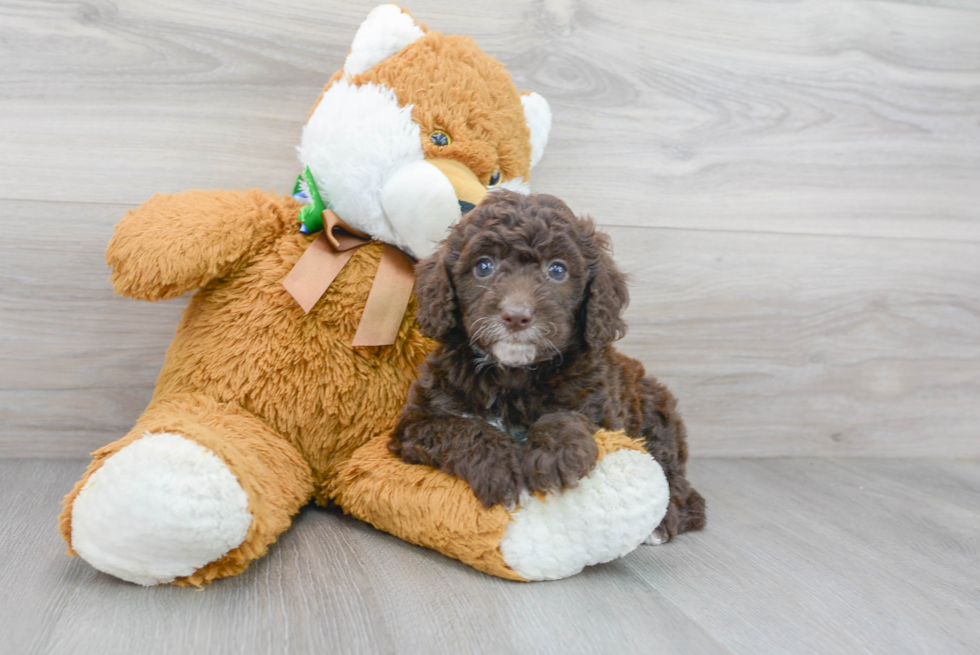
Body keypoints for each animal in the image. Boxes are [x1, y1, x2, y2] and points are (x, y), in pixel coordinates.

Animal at [390, 190, 704, 544]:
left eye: (557, 270)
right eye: (484, 266)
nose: (516, 316)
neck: (512, 376)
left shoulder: (601, 407)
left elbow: (568, 415)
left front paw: (557, 454)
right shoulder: (416, 421)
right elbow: (461, 428)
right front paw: (498, 466)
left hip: (655, 411)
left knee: (673, 476)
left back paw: (665, 521)